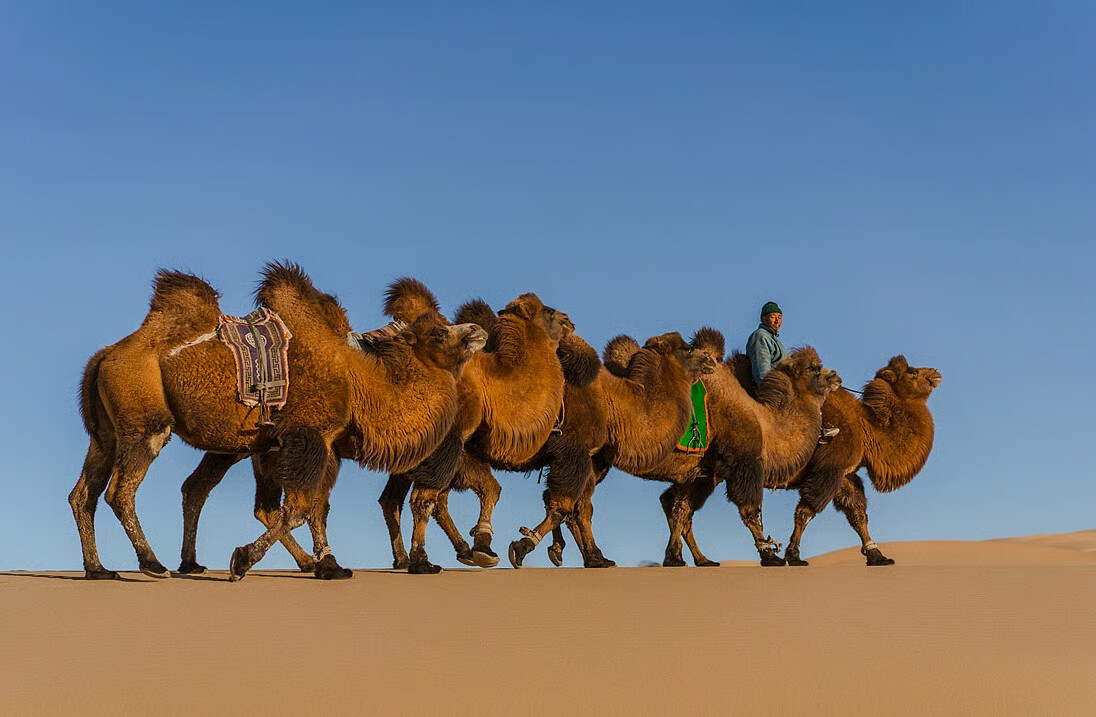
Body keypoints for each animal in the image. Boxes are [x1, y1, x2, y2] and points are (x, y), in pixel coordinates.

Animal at [70, 264, 485, 580]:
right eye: (439, 331)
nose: (478, 331)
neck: (357, 383)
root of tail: (105, 355)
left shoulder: (292, 446)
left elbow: (311, 507)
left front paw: (329, 566)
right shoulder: (310, 436)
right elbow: (300, 508)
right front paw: (242, 561)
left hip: (108, 434)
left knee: (86, 493)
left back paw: (101, 569)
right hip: (145, 421)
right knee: (120, 491)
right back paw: (153, 564)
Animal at [376, 293, 575, 573]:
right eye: (548, 311)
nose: (569, 320)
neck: (490, 388)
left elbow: (480, 490)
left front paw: (477, 548)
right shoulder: (453, 442)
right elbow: (480, 489)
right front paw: (481, 547)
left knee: (391, 499)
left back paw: (404, 558)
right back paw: (417, 558)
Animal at [504, 330, 718, 568]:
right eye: (687, 348)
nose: (711, 360)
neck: (613, 405)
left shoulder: (589, 458)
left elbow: (580, 507)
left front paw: (595, 558)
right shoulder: (572, 450)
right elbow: (565, 505)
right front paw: (521, 547)